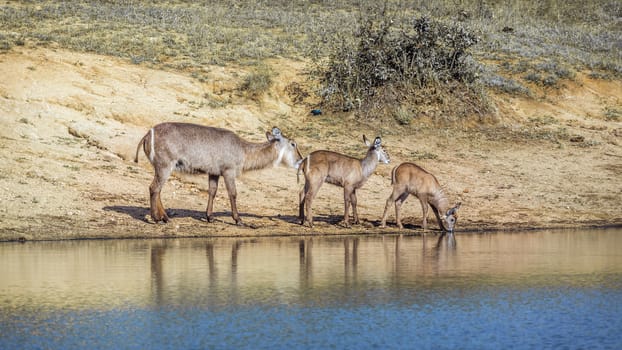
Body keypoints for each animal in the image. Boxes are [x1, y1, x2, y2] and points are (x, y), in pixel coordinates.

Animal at [135, 123, 304, 226]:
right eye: (293, 143)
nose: (301, 160)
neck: (243, 150)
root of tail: (147, 134)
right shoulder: (228, 171)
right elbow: (233, 194)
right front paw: (238, 220)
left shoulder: (214, 173)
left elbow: (212, 192)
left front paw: (210, 217)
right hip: (165, 166)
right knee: (154, 188)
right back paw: (156, 218)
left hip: (161, 168)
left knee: (157, 190)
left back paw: (165, 217)